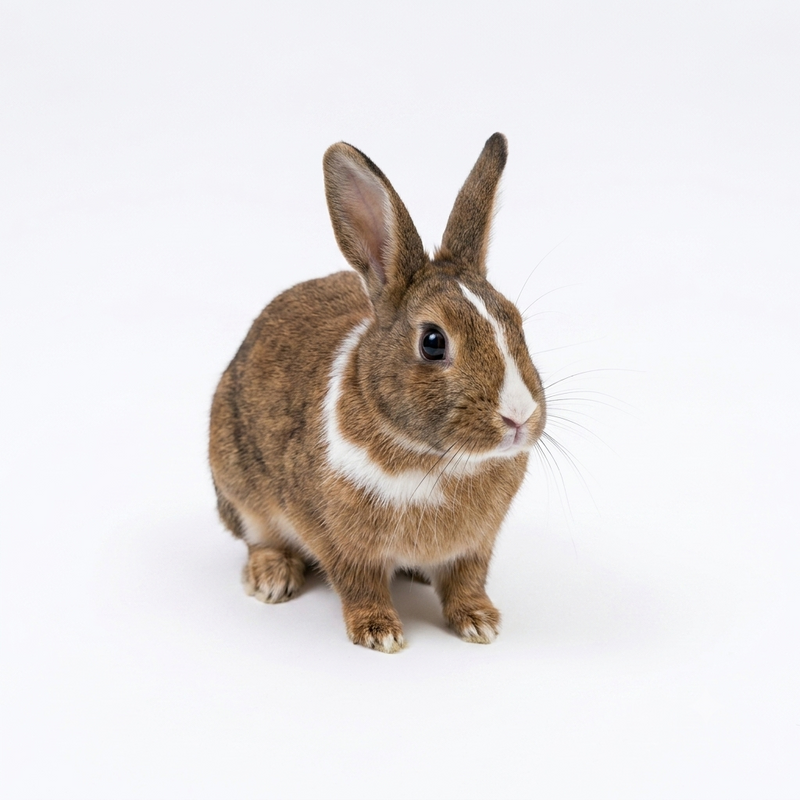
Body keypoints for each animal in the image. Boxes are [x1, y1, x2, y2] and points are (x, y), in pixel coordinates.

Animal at [209, 133, 546, 653]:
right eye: (433, 342)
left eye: (517, 323)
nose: (518, 418)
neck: (435, 460)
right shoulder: (340, 541)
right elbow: (359, 584)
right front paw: (379, 632)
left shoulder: (475, 546)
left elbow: (467, 580)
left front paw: (479, 623)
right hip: (239, 486)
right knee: (257, 537)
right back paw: (272, 578)